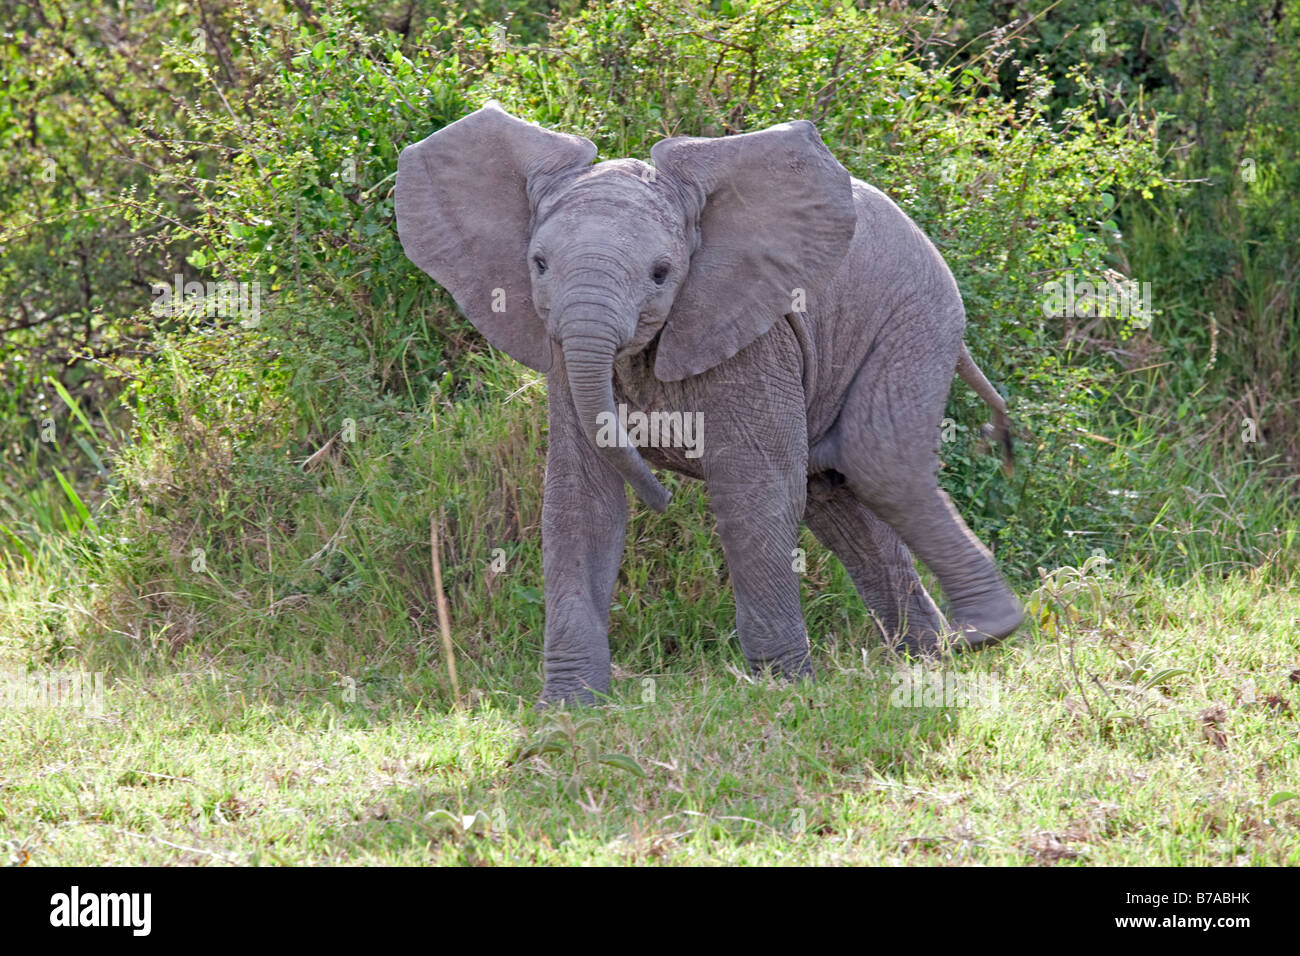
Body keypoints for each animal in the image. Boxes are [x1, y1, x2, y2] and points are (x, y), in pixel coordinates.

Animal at [396, 101, 1023, 704]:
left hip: (916, 314)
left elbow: (754, 493)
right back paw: (930, 658)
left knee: (879, 462)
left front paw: (783, 691)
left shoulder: (754, 330)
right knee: (839, 500)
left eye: (661, 273)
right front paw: (568, 708)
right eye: (539, 265)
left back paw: (985, 633)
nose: (663, 493)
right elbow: (581, 502)